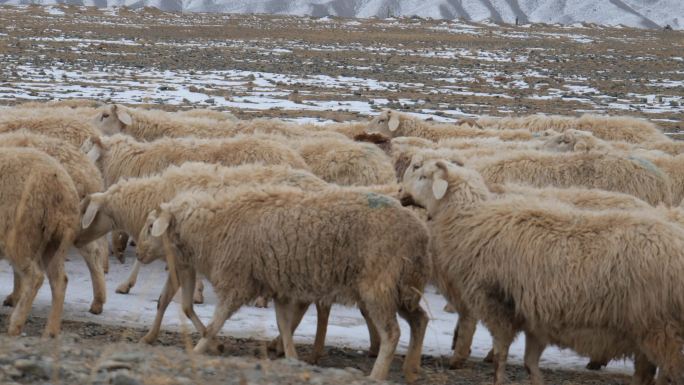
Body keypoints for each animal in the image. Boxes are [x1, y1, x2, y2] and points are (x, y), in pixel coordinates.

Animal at [0, 147, 80, 336]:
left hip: (20, 234)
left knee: (35, 277)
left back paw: (15, 324)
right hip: (56, 241)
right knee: (60, 280)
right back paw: (50, 332)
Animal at [136, 184, 430, 380]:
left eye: (151, 226)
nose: (138, 253)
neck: (214, 226)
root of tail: (420, 233)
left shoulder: (237, 281)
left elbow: (215, 323)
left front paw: (199, 348)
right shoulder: (275, 284)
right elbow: (284, 324)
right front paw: (291, 357)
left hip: (380, 284)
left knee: (392, 333)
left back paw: (377, 375)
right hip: (403, 286)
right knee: (420, 319)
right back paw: (411, 368)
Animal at [398, 158, 684, 384]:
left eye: (423, 176)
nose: (400, 193)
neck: (472, 218)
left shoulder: (498, 305)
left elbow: (500, 354)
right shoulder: (535, 318)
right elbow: (530, 364)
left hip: (662, 330)